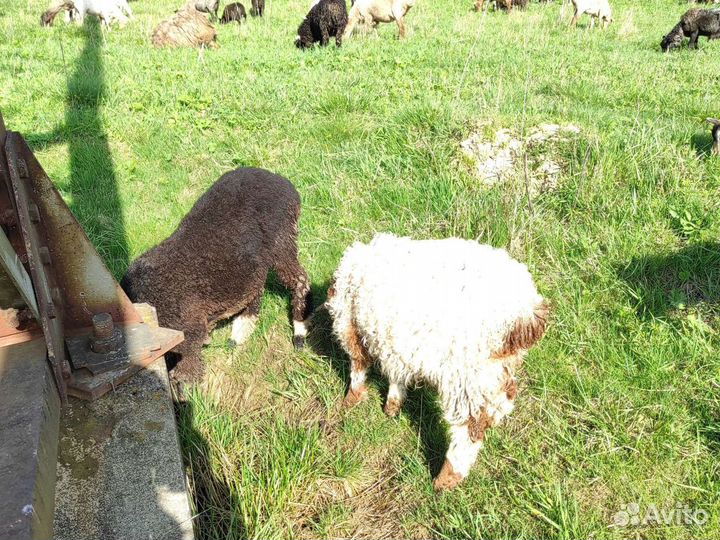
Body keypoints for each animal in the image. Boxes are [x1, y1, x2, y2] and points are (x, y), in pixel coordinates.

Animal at [121, 168, 313, 386]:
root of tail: (284, 182)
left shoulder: (187, 328)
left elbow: (188, 363)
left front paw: (186, 383)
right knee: (257, 288)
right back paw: (240, 331)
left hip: (282, 239)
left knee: (300, 278)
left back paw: (298, 331)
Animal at [326, 233, 548, 491]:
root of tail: (526, 312)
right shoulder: (395, 342)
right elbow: (396, 373)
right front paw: (392, 405)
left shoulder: (353, 326)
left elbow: (358, 364)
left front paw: (350, 400)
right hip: (494, 371)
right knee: (500, 405)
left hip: (464, 377)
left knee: (469, 428)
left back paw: (445, 480)